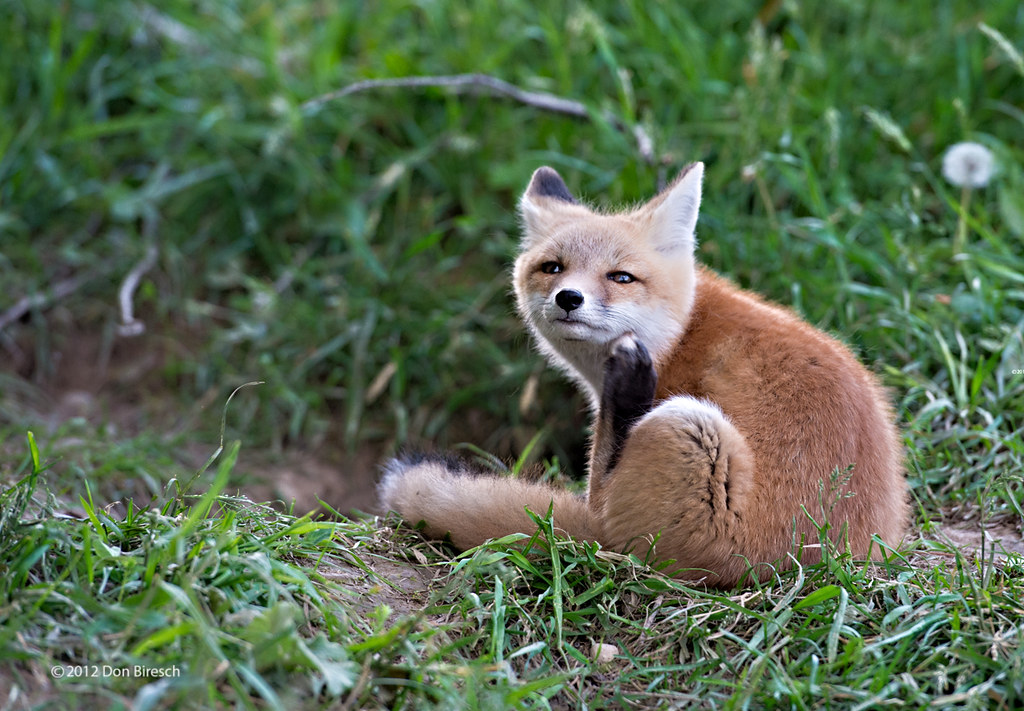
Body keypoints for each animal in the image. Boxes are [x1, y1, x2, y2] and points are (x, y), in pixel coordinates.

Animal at [379, 162, 909, 587]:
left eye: (620, 277)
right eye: (552, 268)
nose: (568, 298)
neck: (680, 333)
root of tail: (795, 562)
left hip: (686, 428)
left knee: (605, 518)